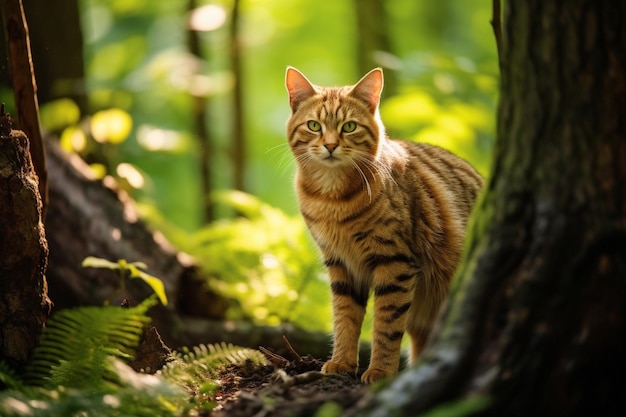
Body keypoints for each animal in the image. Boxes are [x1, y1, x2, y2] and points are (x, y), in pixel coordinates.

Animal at [284, 66, 482, 382]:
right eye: (314, 126)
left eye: (349, 127)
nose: (330, 145)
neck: (332, 199)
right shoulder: (340, 263)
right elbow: (345, 317)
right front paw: (342, 361)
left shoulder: (395, 262)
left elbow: (386, 325)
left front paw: (380, 370)